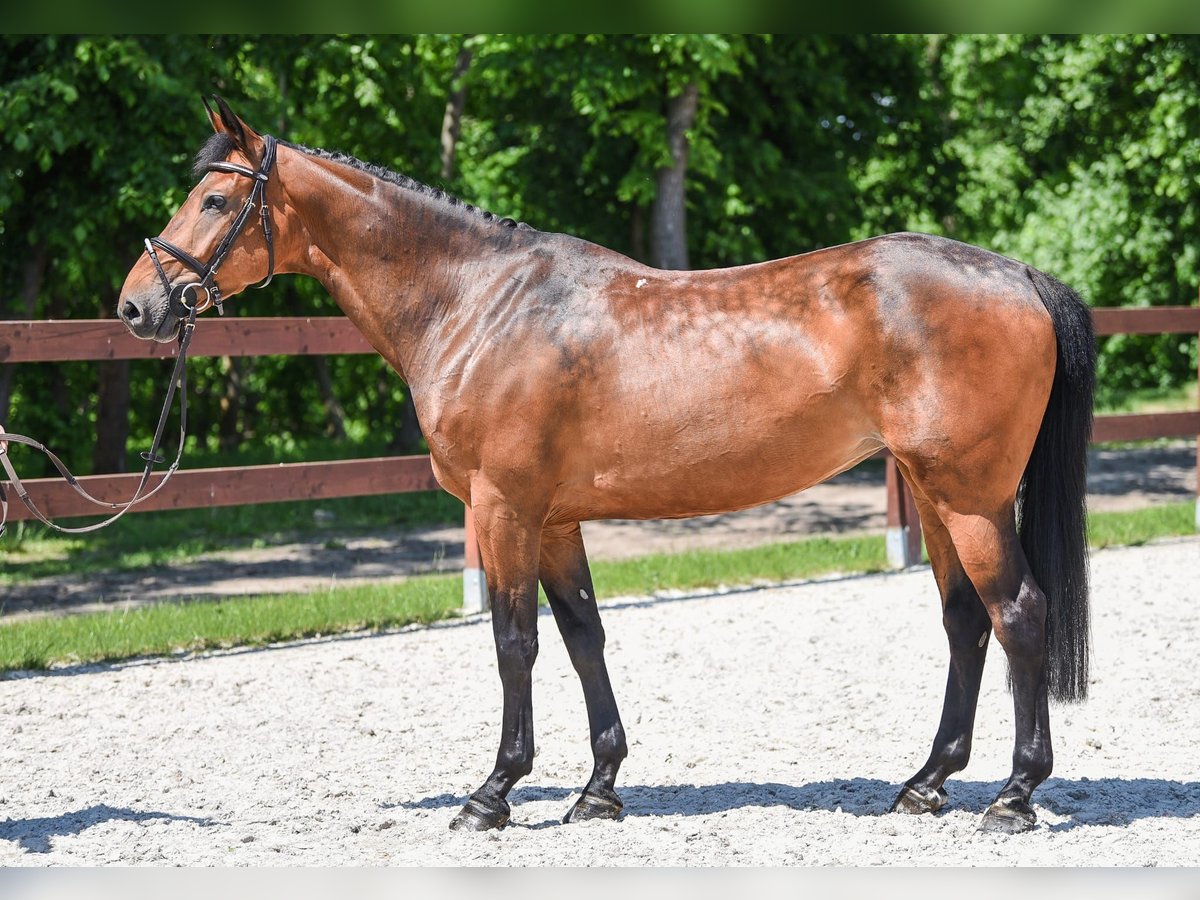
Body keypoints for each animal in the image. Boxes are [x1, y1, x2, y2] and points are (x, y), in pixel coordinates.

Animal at [117, 98, 1094, 840]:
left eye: (214, 200)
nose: (135, 306)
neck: (481, 304)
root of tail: (1019, 276)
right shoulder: (553, 520)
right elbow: (583, 635)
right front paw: (598, 790)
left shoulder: (502, 511)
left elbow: (514, 644)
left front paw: (492, 795)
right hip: (933, 496)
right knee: (966, 623)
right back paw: (926, 783)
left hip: (970, 499)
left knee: (1019, 613)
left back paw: (1013, 797)